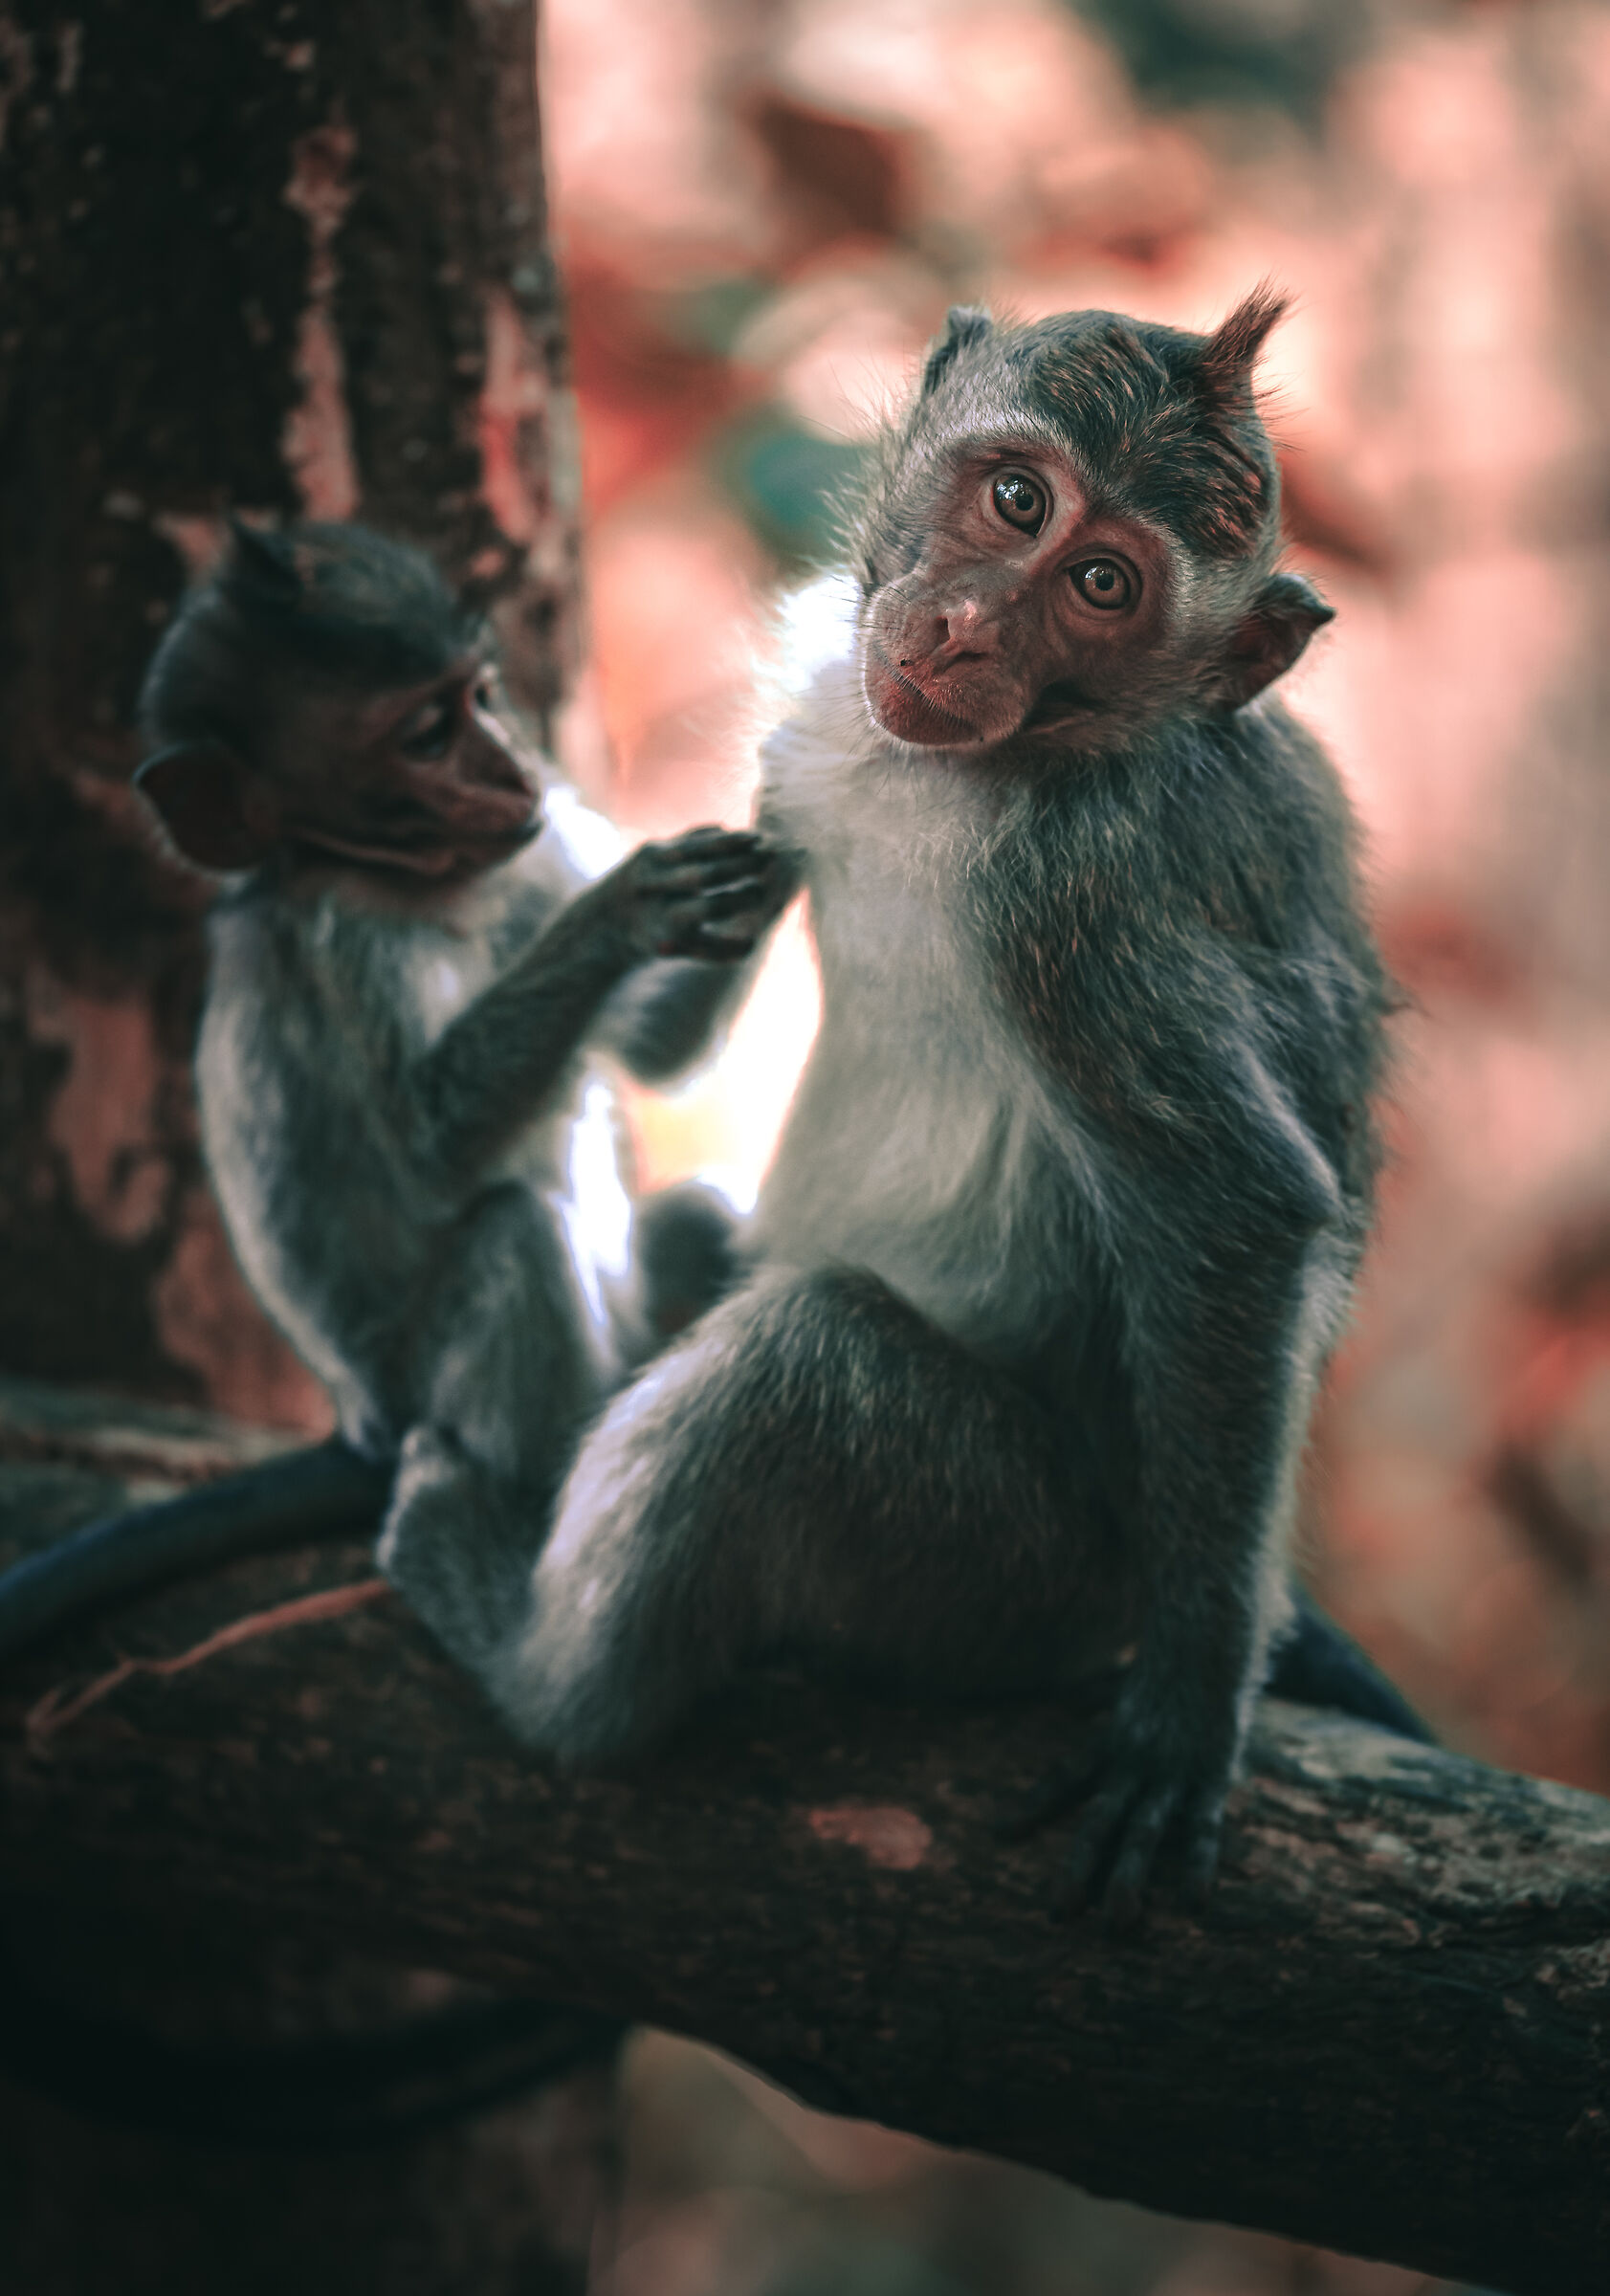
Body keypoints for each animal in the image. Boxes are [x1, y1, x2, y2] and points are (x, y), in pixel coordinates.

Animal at [377, 289, 1429, 1923]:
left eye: (1104, 586)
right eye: (1015, 501)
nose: (961, 628)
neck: (992, 766)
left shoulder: (1071, 899)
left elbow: (1235, 1209)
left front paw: (1191, 1702)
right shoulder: (823, 713)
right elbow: (674, 1026)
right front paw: (635, 909)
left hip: (993, 1567)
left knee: (787, 1373)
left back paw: (538, 1670)